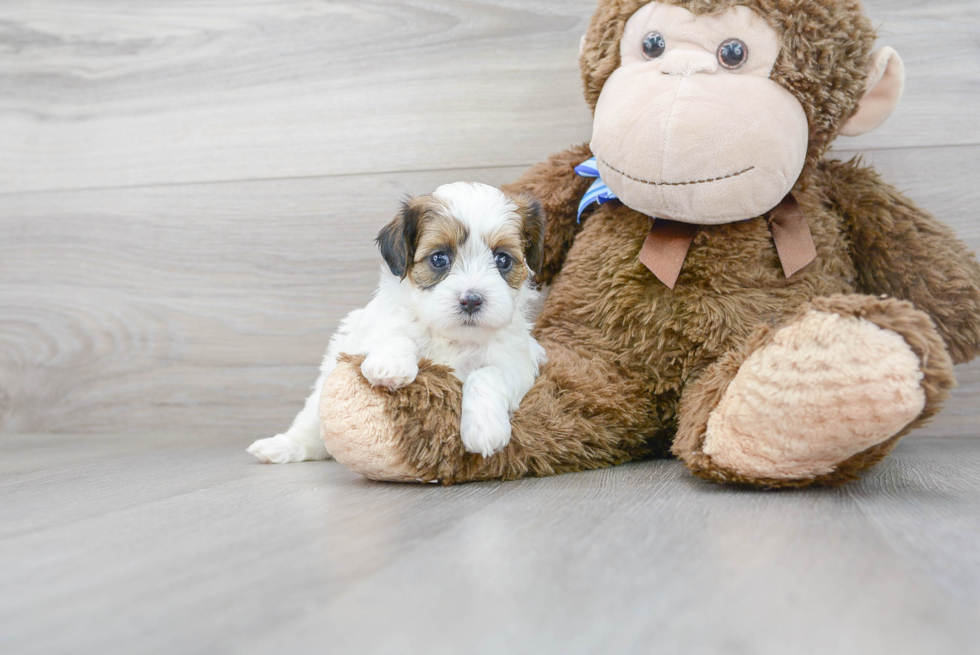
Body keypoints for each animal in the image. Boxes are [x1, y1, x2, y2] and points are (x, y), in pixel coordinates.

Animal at [249, 182, 548, 464]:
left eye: (503, 260)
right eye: (439, 258)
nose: (472, 300)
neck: (450, 335)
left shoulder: (516, 363)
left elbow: (487, 374)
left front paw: (485, 429)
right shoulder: (369, 336)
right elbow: (398, 335)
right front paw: (390, 365)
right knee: (310, 424)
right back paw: (282, 446)